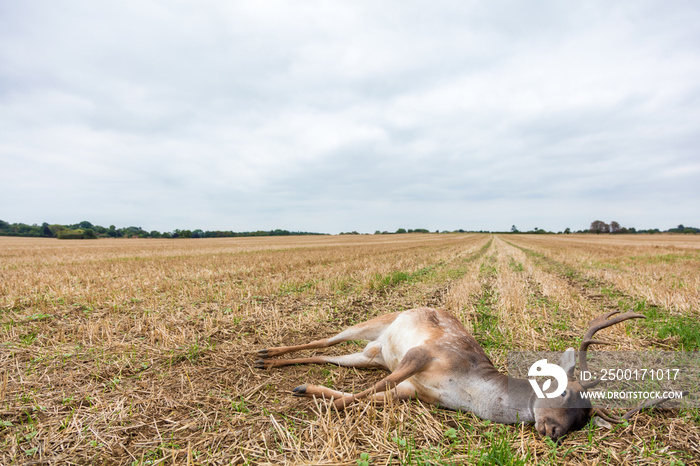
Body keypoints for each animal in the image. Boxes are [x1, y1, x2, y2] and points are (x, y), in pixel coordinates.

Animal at [256, 310, 668, 440]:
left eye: (583, 420)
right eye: (565, 393)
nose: (553, 431)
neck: (466, 389)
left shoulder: (414, 391)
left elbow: (365, 397)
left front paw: (310, 393)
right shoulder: (422, 354)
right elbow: (365, 394)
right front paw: (320, 407)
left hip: (368, 355)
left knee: (330, 357)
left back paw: (277, 368)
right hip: (374, 325)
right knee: (325, 338)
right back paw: (264, 353)